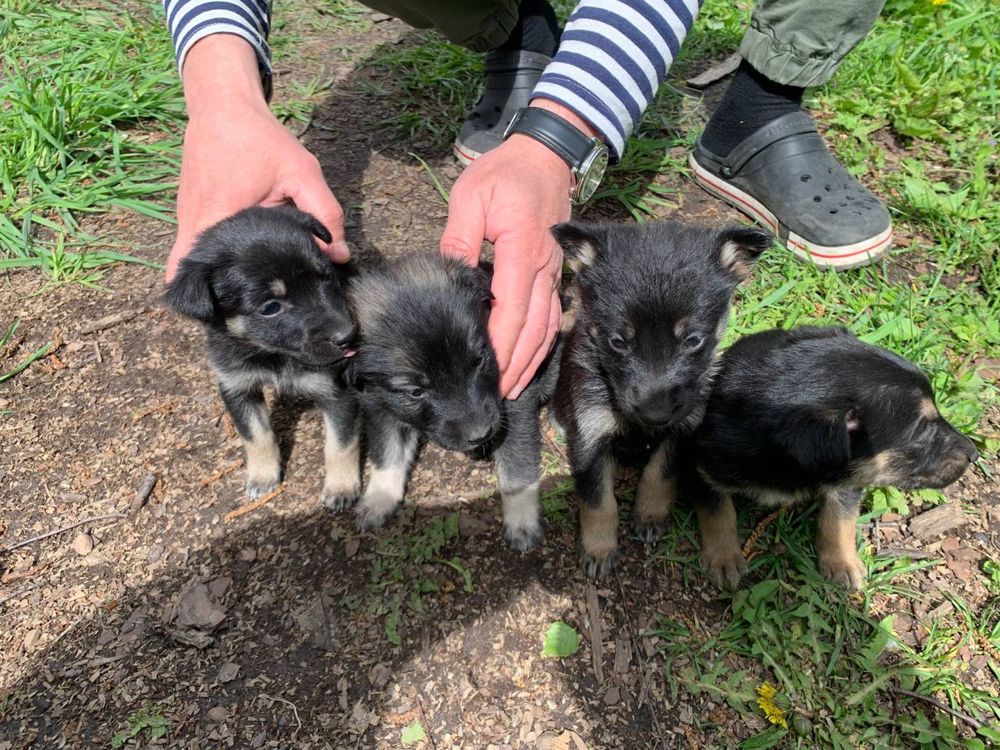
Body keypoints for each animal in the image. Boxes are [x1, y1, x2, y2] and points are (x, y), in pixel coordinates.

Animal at [164, 209, 364, 508]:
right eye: (270, 307)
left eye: (325, 278)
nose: (348, 336)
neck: (272, 356)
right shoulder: (237, 386)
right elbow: (255, 435)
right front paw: (262, 477)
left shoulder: (337, 389)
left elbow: (340, 444)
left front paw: (341, 487)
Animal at [344, 256, 556, 548]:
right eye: (416, 392)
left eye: (478, 360)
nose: (481, 434)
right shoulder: (380, 407)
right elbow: (387, 453)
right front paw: (379, 498)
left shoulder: (515, 397)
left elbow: (517, 466)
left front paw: (522, 520)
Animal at [552, 220, 768, 580]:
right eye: (617, 341)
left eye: (693, 340)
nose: (656, 415)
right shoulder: (590, 433)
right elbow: (598, 500)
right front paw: (599, 548)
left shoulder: (685, 426)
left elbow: (661, 470)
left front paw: (650, 512)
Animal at [680, 328, 976, 592]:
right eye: (922, 430)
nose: (974, 453)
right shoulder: (701, 470)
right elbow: (719, 513)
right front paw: (724, 559)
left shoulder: (848, 479)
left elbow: (839, 520)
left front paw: (842, 563)